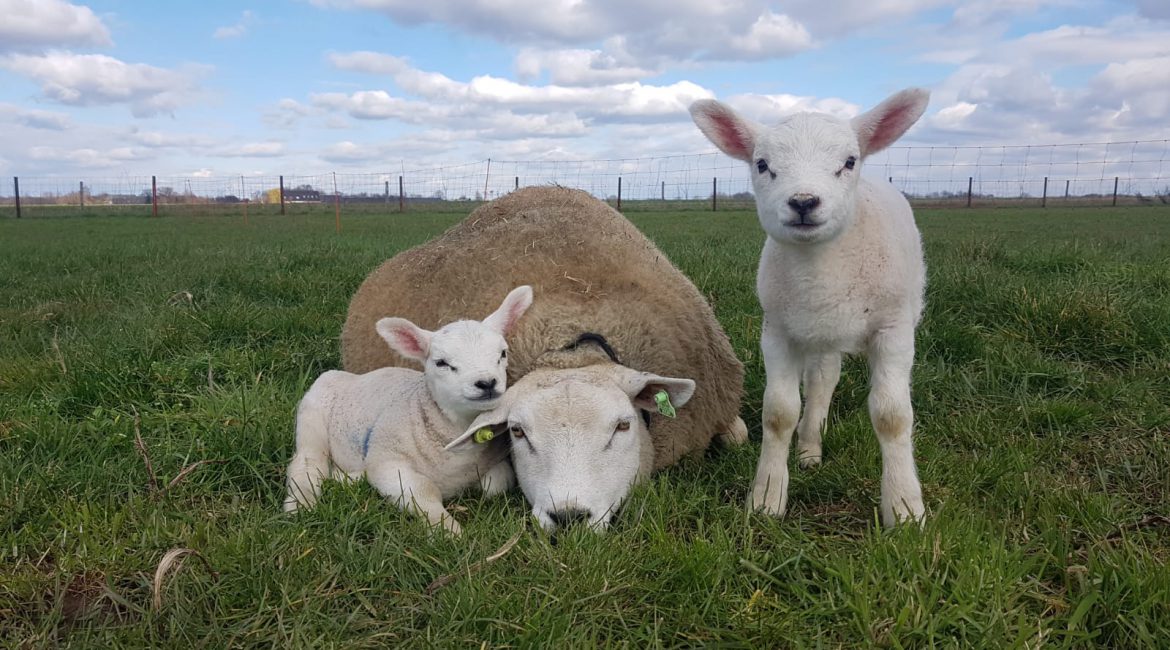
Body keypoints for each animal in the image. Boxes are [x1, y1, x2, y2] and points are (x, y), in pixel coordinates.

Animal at [283, 284, 535, 533]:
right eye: (441, 363)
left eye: (502, 354)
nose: (486, 383)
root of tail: (350, 376)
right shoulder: (388, 461)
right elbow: (424, 491)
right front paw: (448, 530)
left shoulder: (496, 464)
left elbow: (495, 485)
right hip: (311, 419)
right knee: (307, 464)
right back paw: (300, 505)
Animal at [687, 87, 926, 528]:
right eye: (762, 164)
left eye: (849, 161)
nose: (803, 202)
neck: (821, 271)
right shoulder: (777, 332)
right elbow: (779, 413)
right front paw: (766, 499)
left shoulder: (894, 330)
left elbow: (892, 416)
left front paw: (904, 509)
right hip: (818, 334)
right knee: (821, 382)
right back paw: (810, 448)